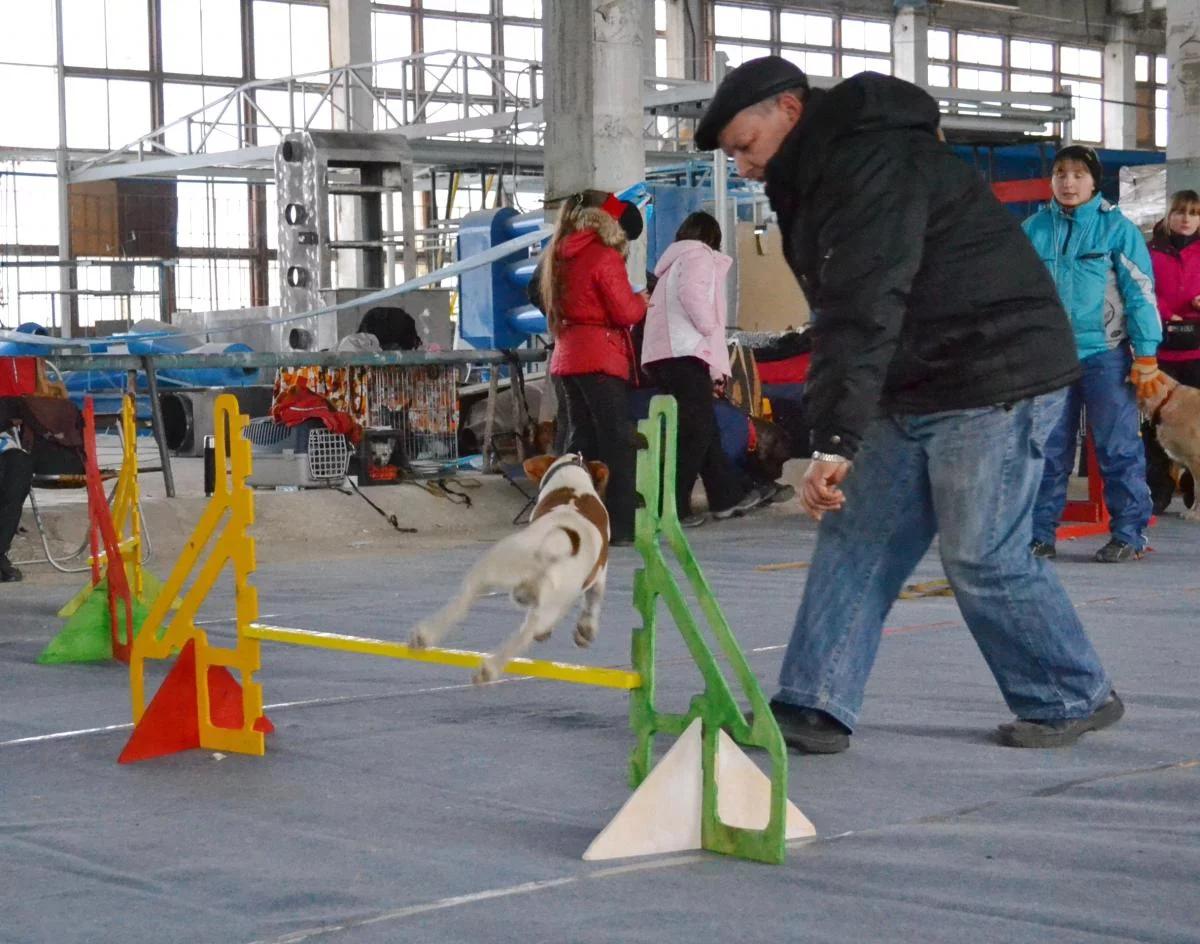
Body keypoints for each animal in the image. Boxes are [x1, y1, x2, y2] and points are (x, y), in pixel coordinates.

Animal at [408, 454, 611, 683]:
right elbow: (594, 599)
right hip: (551, 603)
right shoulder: (599, 574)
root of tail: (554, 542)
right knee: (526, 633)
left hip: (493, 567)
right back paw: (490, 668)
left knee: (464, 600)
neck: (573, 485)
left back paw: (423, 636)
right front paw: (585, 631)